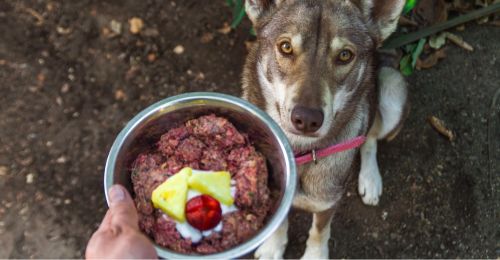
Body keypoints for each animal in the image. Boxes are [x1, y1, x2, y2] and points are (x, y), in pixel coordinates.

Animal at [242, 0, 410, 258]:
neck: (298, 150)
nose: (306, 119)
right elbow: (279, 222)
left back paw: (370, 179)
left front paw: (315, 255)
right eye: (286, 47)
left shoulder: (327, 203)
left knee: (370, 135)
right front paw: (273, 248)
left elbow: (320, 232)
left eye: (344, 55)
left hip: (393, 87)